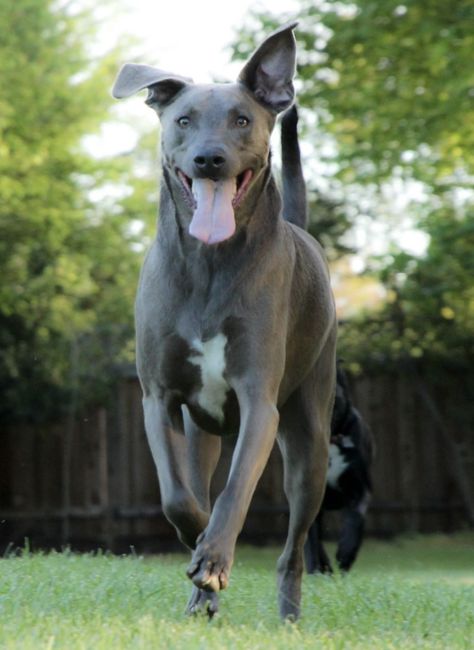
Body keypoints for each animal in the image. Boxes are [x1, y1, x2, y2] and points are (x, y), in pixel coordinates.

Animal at [113, 24, 336, 616]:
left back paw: (287, 612)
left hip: (312, 439)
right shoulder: (158, 398)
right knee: (197, 481)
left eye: (241, 119)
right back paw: (200, 598)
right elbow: (178, 497)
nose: (209, 160)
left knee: (294, 544)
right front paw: (199, 553)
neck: (210, 263)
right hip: (202, 433)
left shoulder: (260, 402)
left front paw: (212, 561)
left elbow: (234, 494)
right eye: (183, 120)